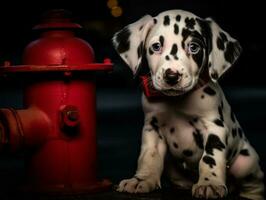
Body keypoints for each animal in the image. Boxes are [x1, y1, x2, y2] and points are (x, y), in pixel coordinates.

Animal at [111, 9, 264, 200]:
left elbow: (210, 158)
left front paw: (210, 183)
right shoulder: (152, 128)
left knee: (253, 184)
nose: (172, 76)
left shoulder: (214, 127)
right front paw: (142, 179)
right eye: (156, 46)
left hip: (246, 162)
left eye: (194, 47)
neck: (177, 102)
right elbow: (149, 157)